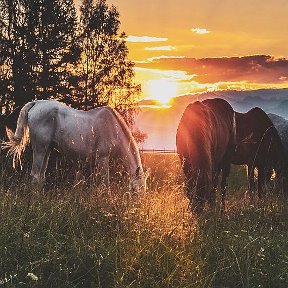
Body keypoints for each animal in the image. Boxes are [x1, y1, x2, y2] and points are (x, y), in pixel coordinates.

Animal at [2, 99, 148, 191]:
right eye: (135, 190)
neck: (113, 128)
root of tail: (36, 103)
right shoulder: (102, 158)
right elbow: (105, 183)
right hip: (40, 149)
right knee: (36, 176)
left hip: (47, 150)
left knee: (40, 178)